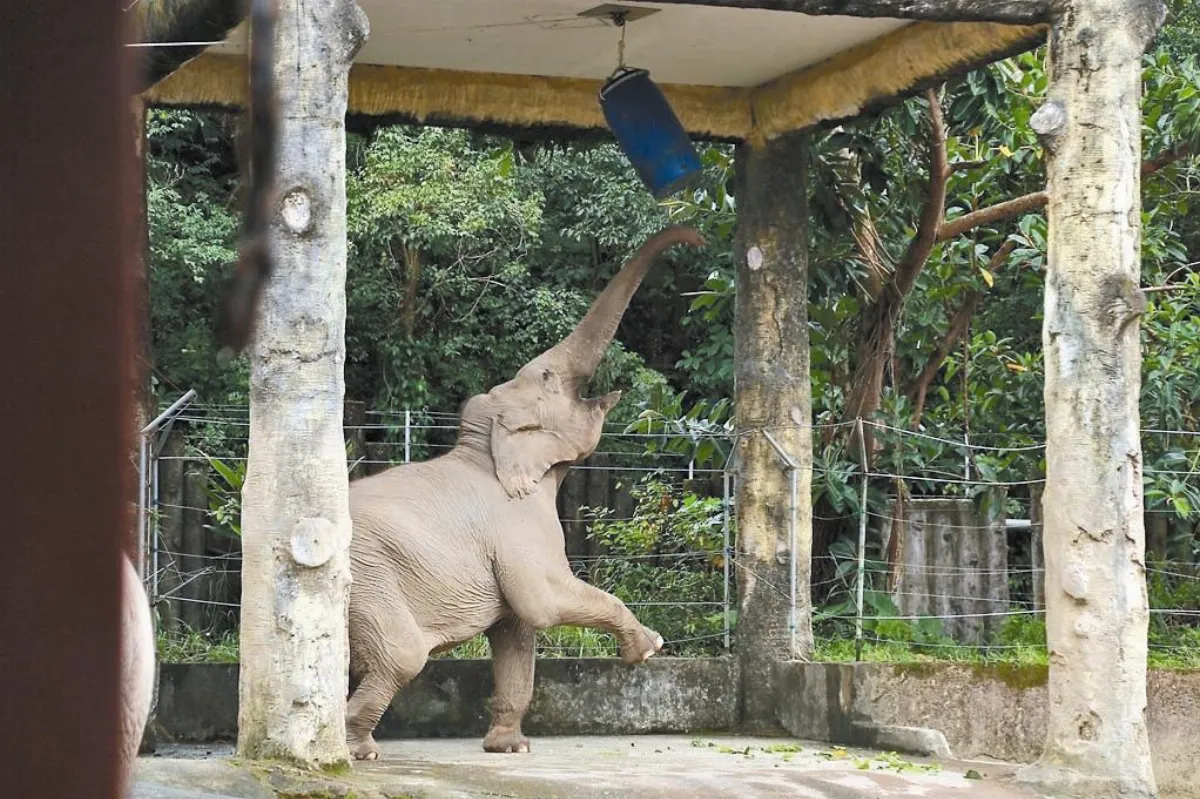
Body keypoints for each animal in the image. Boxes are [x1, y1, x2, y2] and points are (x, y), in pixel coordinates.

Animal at [345, 224, 705, 760]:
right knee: (402, 655)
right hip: (370, 579)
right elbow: (543, 602)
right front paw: (650, 647)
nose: (698, 239)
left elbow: (516, 631)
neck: (485, 445)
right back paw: (358, 751)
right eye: (550, 378)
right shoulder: (519, 527)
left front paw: (509, 749)